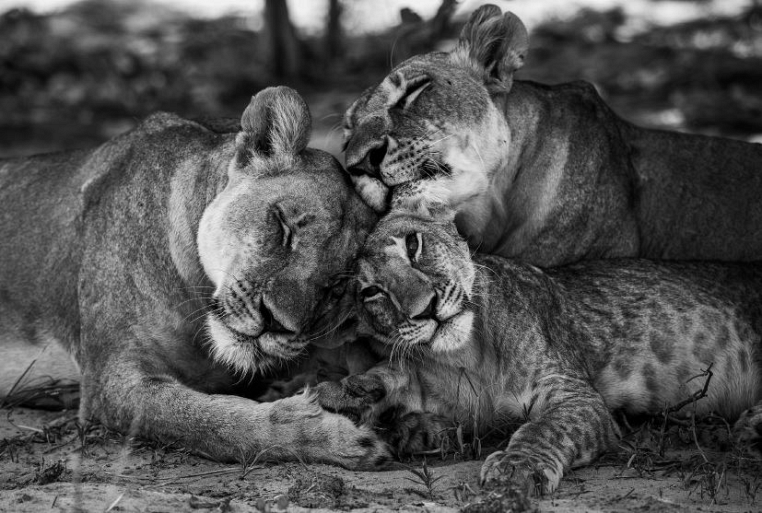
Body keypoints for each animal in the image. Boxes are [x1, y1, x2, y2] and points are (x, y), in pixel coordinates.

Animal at [0, 86, 386, 466]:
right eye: (283, 226)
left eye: (337, 287)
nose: (274, 322)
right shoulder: (109, 381)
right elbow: (209, 423)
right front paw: (325, 433)